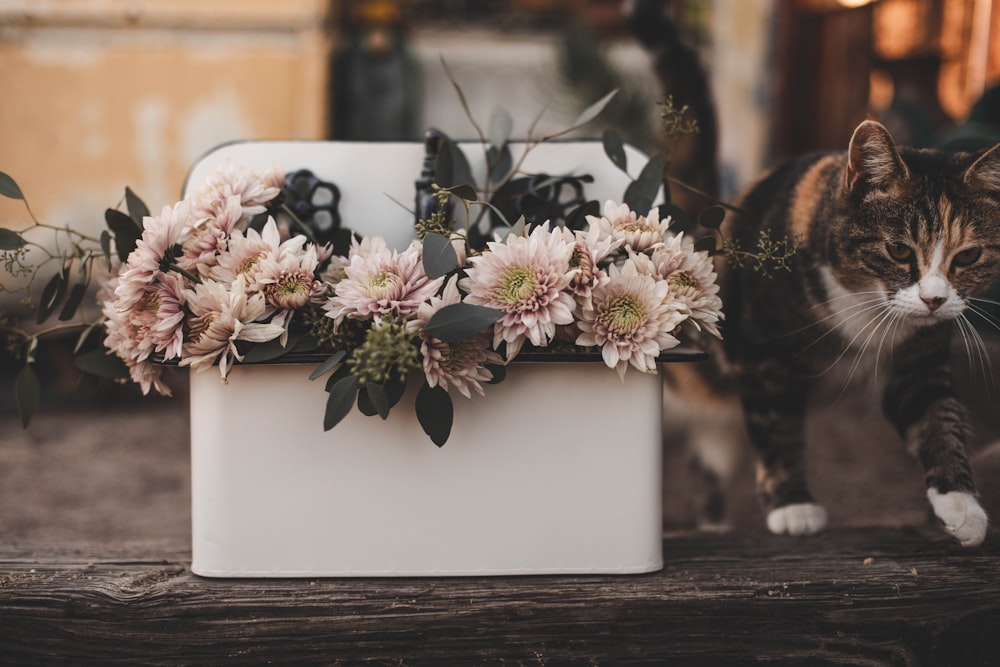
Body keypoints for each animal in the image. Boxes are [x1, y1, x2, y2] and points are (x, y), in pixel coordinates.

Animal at [680, 121, 1000, 548]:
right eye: (899, 251)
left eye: (967, 256)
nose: (934, 300)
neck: (868, 308)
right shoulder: (758, 353)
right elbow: (777, 425)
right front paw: (793, 507)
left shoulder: (919, 359)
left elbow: (938, 416)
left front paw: (962, 507)